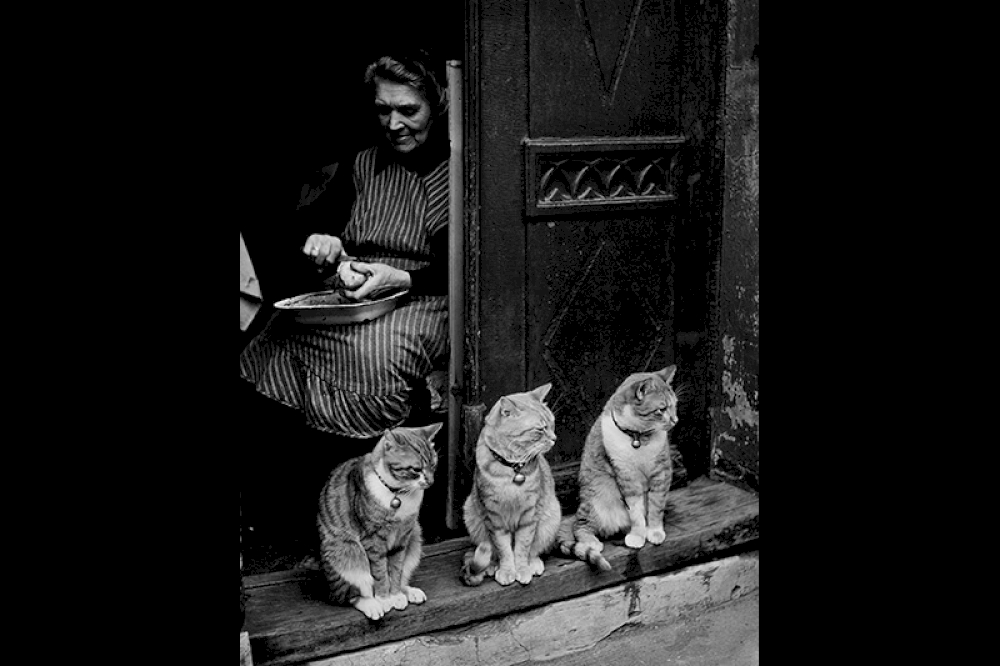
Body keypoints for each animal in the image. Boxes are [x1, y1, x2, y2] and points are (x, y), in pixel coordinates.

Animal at [316, 422, 442, 620]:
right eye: (416, 469)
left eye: (434, 465)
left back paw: (409, 591)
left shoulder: (403, 538)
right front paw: (384, 599)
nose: (430, 482)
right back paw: (372, 605)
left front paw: (396, 595)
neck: (398, 494)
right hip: (346, 550)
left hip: (415, 536)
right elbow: (380, 572)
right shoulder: (373, 540)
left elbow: (396, 570)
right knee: (349, 594)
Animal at [460, 382, 564, 584]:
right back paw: (492, 565)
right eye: (540, 429)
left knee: (535, 550)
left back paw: (533, 563)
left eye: (553, 423)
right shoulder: (494, 516)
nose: (555, 438)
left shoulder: (530, 514)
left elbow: (523, 547)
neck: (513, 470)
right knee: (489, 552)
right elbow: (503, 548)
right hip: (471, 515)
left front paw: (522, 569)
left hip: (551, 517)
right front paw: (507, 570)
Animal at [556, 366, 680, 568]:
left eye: (675, 405)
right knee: (579, 525)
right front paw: (638, 535)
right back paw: (591, 542)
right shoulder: (626, 476)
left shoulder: (662, 472)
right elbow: (636, 511)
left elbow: (656, 505)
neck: (638, 437)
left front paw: (654, 531)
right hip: (595, 499)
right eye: (661, 409)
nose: (675, 420)